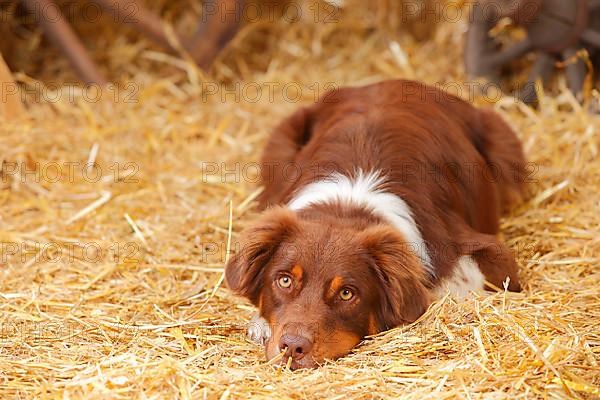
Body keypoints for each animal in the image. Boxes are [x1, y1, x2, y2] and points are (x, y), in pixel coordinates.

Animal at [225, 79, 524, 368]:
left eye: (347, 294)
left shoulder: (490, 254)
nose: (292, 347)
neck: (347, 206)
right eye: (284, 280)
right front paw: (261, 324)